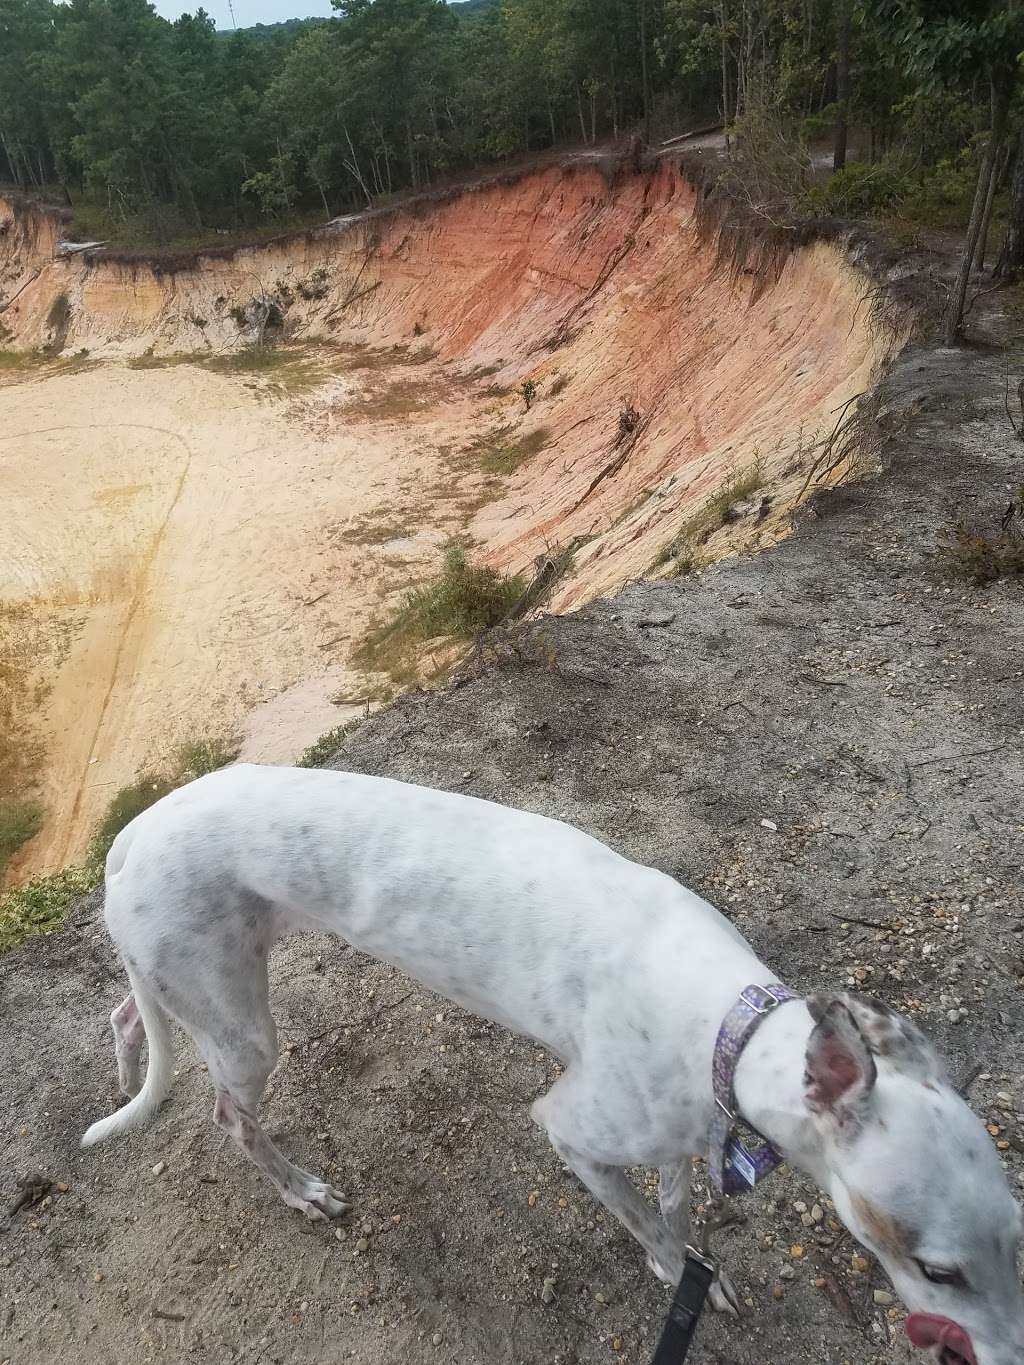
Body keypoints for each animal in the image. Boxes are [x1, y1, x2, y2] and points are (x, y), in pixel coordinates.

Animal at [84, 764, 1024, 1359]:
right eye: (937, 1270)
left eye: (1019, 1233)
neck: (731, 1027)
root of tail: (128, 835)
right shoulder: (572, 1129)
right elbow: (646, 1220)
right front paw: (674, 1269)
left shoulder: (680, 1128)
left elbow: (674, 1203)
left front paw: (693, 1264)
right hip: (241, 1025)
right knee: (229, 1114)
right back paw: (301, 1189)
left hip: (188, 980)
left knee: (128, 1008)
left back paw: (128, 1060)